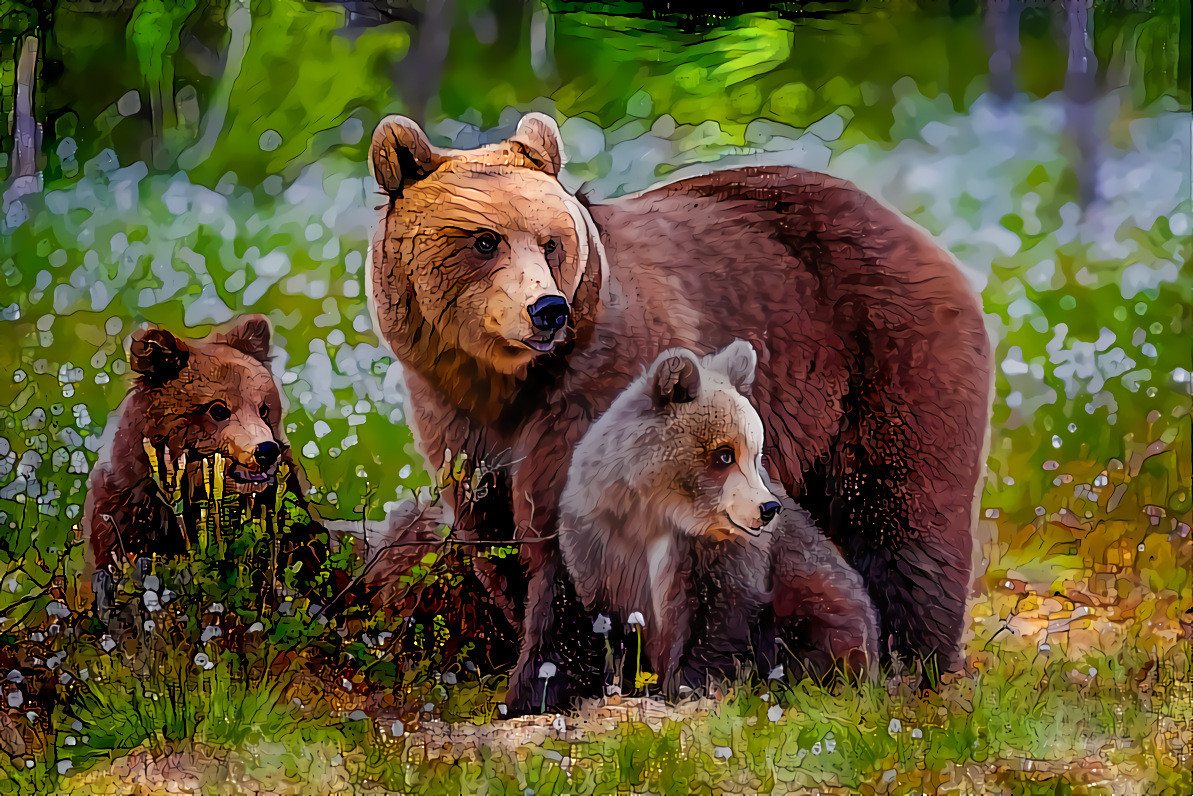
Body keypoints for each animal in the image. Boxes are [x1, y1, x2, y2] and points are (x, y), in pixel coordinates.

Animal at [555, 343, 878, 696]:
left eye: (755, 454)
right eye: (725, 454)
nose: (768, 508)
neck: (656, 512)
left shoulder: (718, 553)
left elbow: (722, 614)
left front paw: (688, 683)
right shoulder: (602, 540)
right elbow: (611, 621)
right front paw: (623, 680)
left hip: (816, 595)